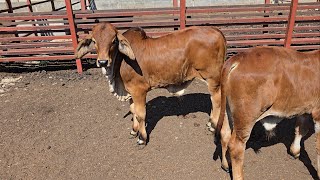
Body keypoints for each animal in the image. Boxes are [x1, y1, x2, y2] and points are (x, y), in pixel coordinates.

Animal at [74, 22, 226, 146]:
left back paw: (212, 125)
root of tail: (216, 31)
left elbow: (141, 114)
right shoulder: (130, 91)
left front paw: (142, 138)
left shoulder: (139, 90)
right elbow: (133, 110)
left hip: (212, 79)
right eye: (94, 41)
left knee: (216, 100)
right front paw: (133, 131)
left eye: (113, 41)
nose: (103, 61)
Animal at [215, 46, 320, 180]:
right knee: (236, 146)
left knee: (225, 134)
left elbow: (301, 129)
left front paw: (295, 151)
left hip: (228, 111)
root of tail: (239, 57)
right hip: (246, 116)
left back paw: (226, 164)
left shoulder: (305, 107)